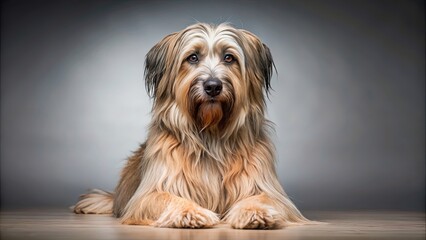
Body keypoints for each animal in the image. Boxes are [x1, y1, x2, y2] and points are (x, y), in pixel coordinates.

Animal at [73, 23, 308, 231]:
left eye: (229, 57)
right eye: (192, 57)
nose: (213, 86)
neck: (211, 134)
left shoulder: (271, 192)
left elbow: (262, 198)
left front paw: (255, 212)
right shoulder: (149, 194)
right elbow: (169, 198)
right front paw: (190, 212)